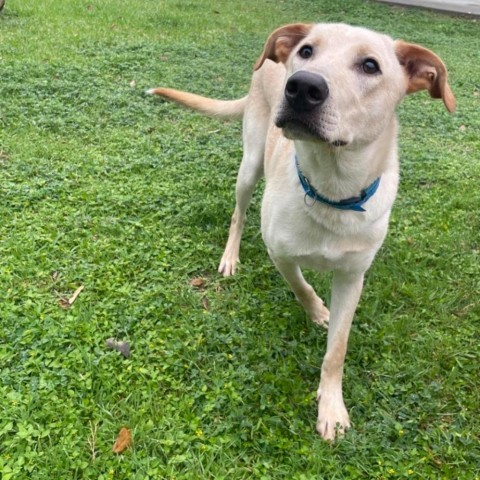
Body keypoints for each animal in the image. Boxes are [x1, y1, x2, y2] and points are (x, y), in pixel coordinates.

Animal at [148, 24, 456, 440]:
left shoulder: (352, 277)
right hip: (250, 163)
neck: (332, 192)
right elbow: (301, 285)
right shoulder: (279, 252)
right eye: (307, 51)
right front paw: (317, 310)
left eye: (370, 65)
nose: (302, 86)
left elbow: (337, 349)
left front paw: (332, 406)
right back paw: (230, 257)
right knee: (237, 215)